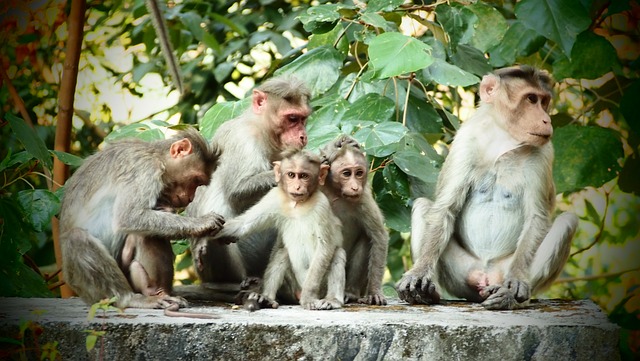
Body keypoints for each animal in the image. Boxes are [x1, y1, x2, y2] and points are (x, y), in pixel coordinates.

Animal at [60, 127, 225, 310]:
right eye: (196, 180)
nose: (190, 198)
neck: (156, 156)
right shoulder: (144, 170)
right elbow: (129, 217)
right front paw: (203, 223)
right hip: (90, 291)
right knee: (78, 238)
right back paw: (131, 298)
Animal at [186, 76, 312, 286]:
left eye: (303, 119)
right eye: (292, 119)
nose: (303, 136)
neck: (262, 130)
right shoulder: (243, 140)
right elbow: (237, 192)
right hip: (223, 271)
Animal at [214, 149, 348, 310]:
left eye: (304, 176)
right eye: (291, 175)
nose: (297, 187)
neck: (298, 205)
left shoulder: (322, 206)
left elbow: (325, 247)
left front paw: (308, 298)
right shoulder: (274, 196)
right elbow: (244, 224)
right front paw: (209, 228)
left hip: (320, 287)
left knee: (337, 253)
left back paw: (332, 300)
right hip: (292, 285)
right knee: (282, 253)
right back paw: (266, 297)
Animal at [320, 136, 390, 306]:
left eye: (359, 173)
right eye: (346, 173)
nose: (354, 187)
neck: (336, 192)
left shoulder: (363, 199)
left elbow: (379, 237)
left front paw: (374, 292)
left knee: (367, 237)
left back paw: (350, 292)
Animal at [396, 65, 580, 310]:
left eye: (544, 101)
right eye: (531, 99)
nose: (546, 120)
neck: (503, 139)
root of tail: (486, 277)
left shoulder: (544, 153)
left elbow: (537, 217)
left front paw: (517, 282)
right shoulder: (465, 142)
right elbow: (445, 207)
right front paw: (418, 273)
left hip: (503, 270)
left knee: (568, 221)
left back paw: (510, 297)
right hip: (460, 275)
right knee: (423, 206)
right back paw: (428, 292)